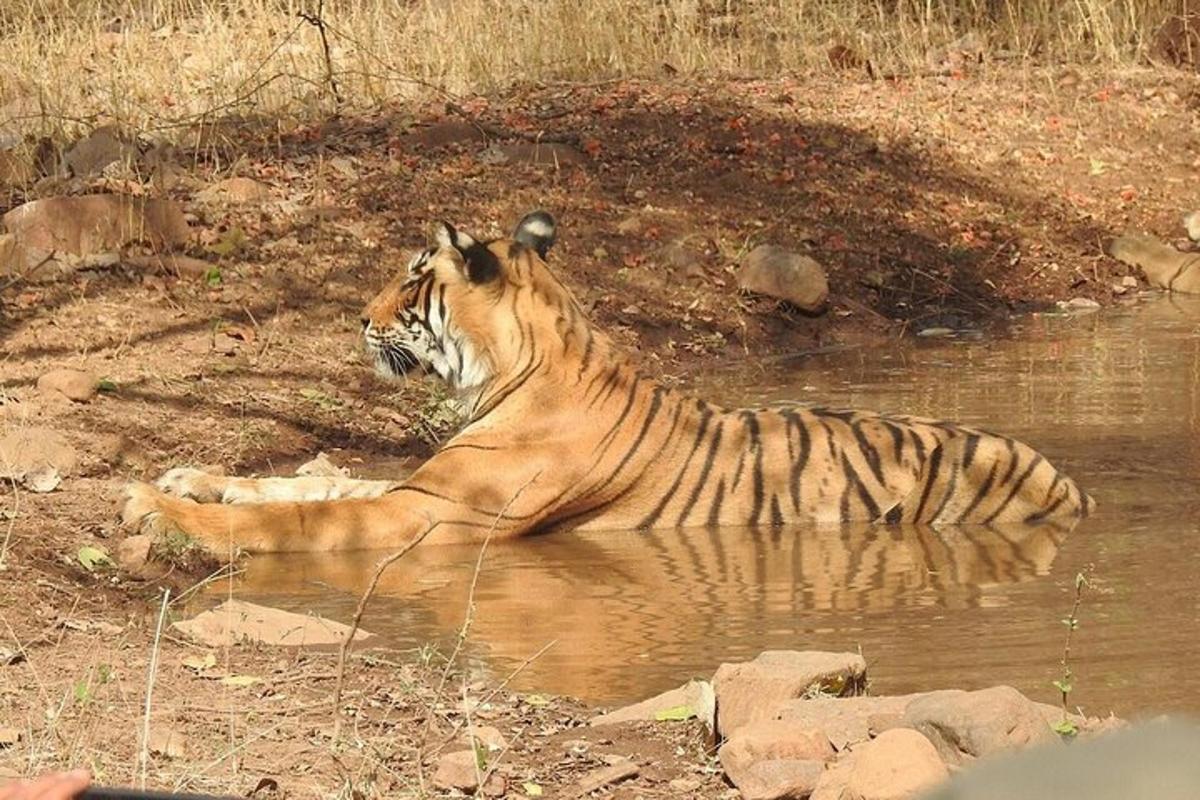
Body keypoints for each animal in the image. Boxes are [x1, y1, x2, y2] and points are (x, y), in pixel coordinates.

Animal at [121, 209, 1099, 554]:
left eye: (412, 278)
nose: (359, 318)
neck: (509, 373)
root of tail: (1071, 484)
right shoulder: (424, 484)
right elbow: (304, 481)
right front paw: (190, 476)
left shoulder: (432, 511)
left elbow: (303, 515)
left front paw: (158, 510)